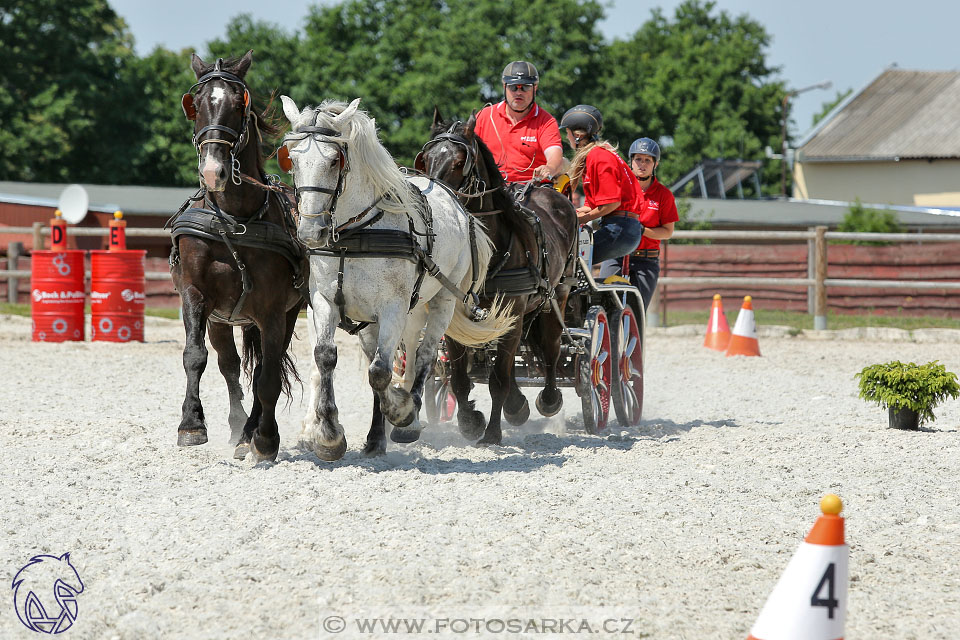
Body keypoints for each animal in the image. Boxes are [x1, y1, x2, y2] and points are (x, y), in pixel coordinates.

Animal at [169, 50, 308, 460]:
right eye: (196, 104)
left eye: (238, 105)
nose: (212, 170)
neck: (234, 219)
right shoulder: (195, 295)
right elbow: (195, 356)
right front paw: (191, 424)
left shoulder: (274, 310)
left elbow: (268, 376)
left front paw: (265, 439)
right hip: (222, 319)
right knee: (229, 364)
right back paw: (237, 426)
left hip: (286, 313)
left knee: (265, 368)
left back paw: (252, 432)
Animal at [282, 97, 512, 460]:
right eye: (292, 159)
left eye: (335, 160)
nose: (309, 231)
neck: (356, 232)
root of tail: (457, 204)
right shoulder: (324, 302)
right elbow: (326, 358)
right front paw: (328, 434)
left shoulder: (391, 307)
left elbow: (379, 373)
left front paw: (401, 412)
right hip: (405, 311)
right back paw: (377, 435)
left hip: (442, 300)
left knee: (425, 355)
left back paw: (407, 418)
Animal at [414, 110, 576, 444]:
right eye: (427, 158)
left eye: (460, 161)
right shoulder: (455, 309)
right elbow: (461, 378)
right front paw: (470, 422)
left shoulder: (513, 307)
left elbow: (498, 378)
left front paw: (491, 433)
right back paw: (516, 405)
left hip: (556, 297)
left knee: (551, 349)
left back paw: (548, 398)